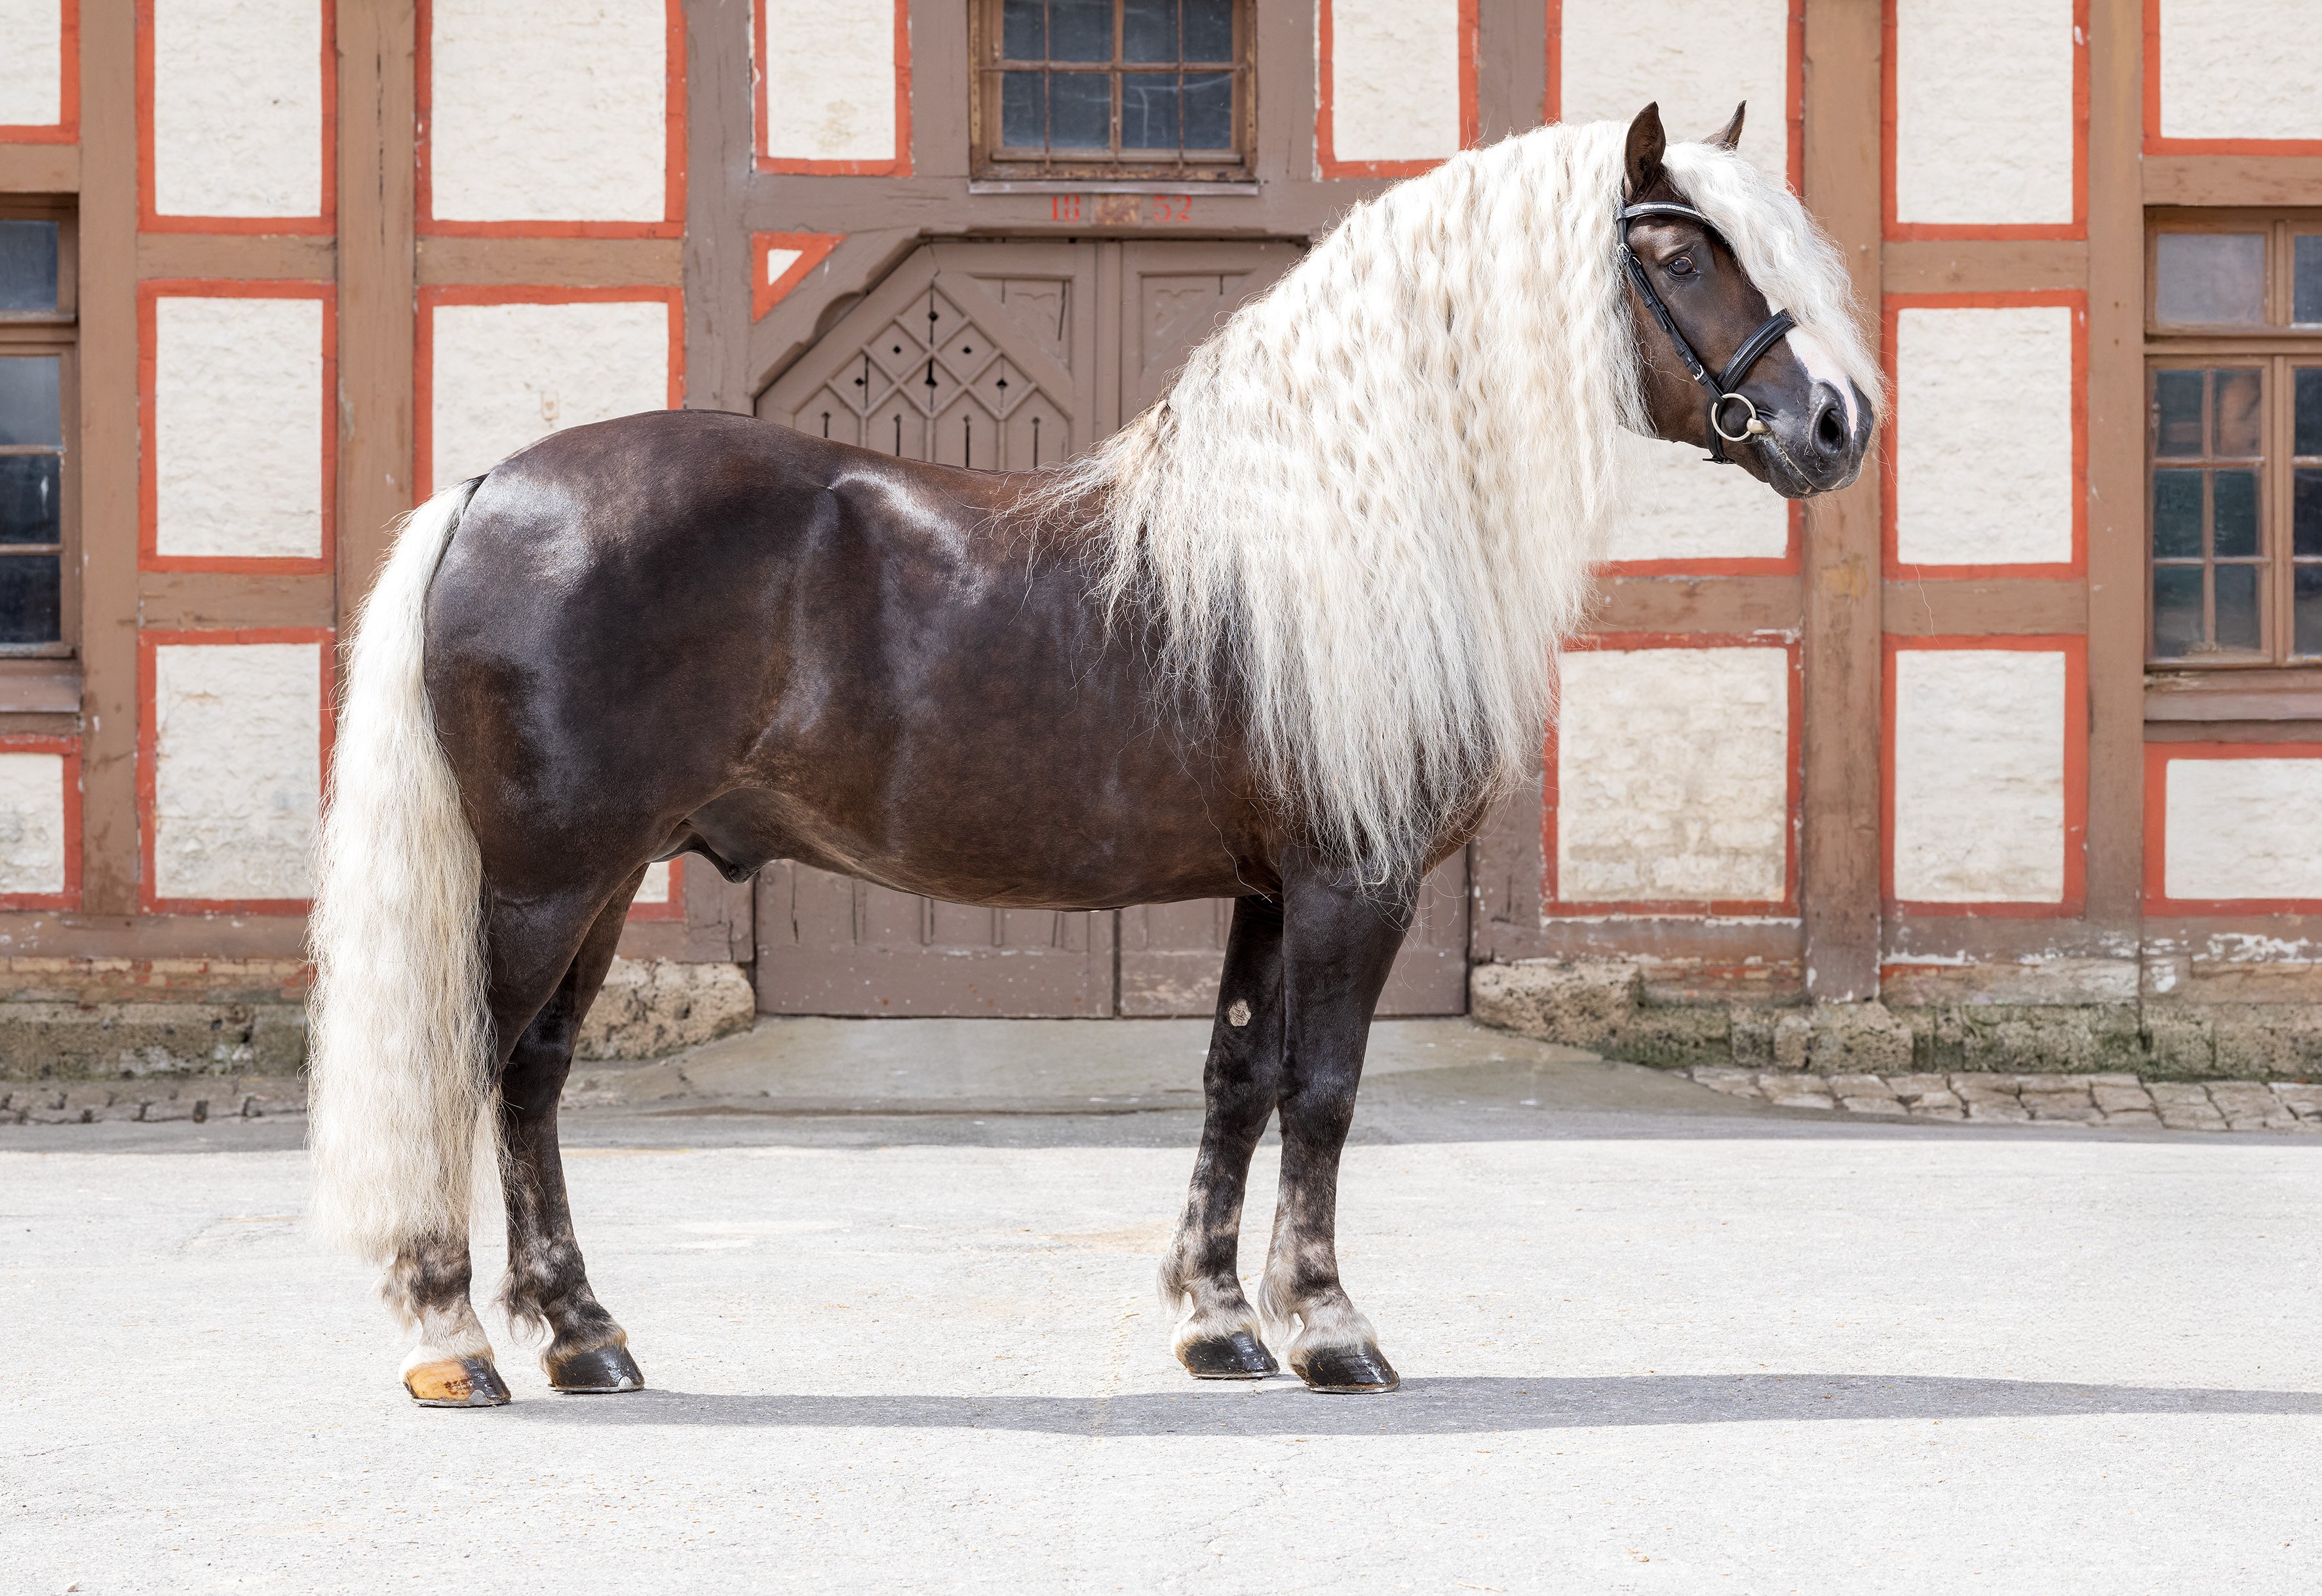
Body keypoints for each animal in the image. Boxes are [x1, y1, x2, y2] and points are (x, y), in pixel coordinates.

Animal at [309, 102, 1876, 1412]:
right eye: (1676, 253)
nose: (1835, 422)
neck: (1347, 529)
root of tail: (492, 488)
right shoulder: (1354, 884)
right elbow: (1323, 1090)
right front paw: (1331, 1329)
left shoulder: (1269, 889)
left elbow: (1235, 1080)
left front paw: (1219, 1323)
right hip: (546, 882)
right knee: (468, 1066)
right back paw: (452, 1340)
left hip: (602, 877)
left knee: (532, 1077)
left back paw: (584, 1335)